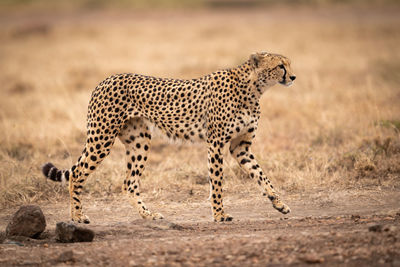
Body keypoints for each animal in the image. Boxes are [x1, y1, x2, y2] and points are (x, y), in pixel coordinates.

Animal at [41, 51, 296, 223]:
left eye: (289, 64)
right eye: (280, 66)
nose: (293, 77)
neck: (253, 88)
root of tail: (106, 79)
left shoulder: (240, 146)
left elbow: (261, 175)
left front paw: (279, 203)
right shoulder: (215, 144)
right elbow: (217, 183)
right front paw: (219, 214)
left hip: (139, 141)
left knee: (129, 182)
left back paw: (148, 215)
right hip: (102, 137)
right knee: (77, 174)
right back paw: (77, 217)